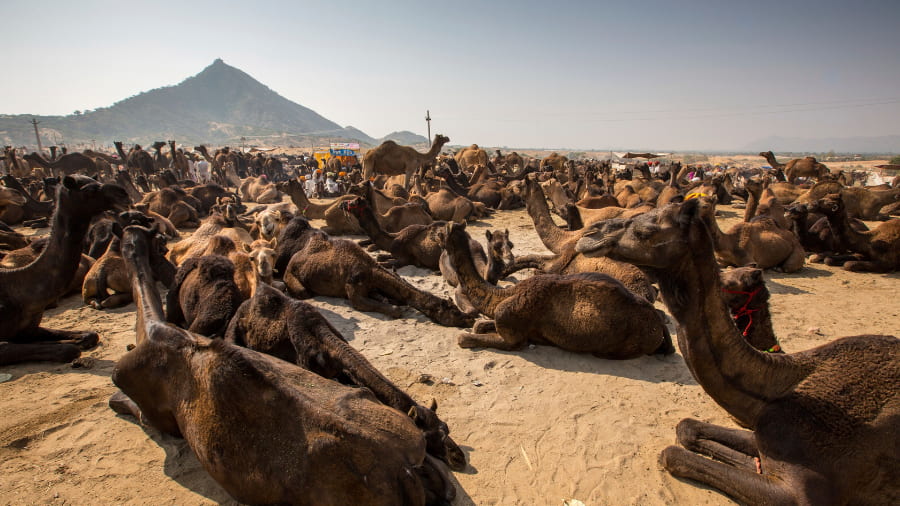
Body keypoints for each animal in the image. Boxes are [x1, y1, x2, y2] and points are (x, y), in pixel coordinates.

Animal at [0, 176, 128, 365]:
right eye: (89, 189)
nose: (123, 193)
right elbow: (67, 349)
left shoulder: (30, 329)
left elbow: (89, 335)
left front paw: (79, 340)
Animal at [279, 217, 473, 327]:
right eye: (453, 312)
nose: (469, 319)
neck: (371, 272)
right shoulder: (354, 291)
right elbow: (393, 308)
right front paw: (395, 307)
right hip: (291, 274)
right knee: (302, 291)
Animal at [443, 223, 673, 357]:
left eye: (441, 232)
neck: (504, 294)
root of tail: (659, 324)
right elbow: (479, 325)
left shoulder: (513, 335)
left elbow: (465, 338)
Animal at [574, 198, 899, 505]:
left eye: (646, 230)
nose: (589, 235)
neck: (778, 386)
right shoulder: (763, 434)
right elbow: (687, 428)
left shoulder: (804, 490)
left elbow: (672, 454)